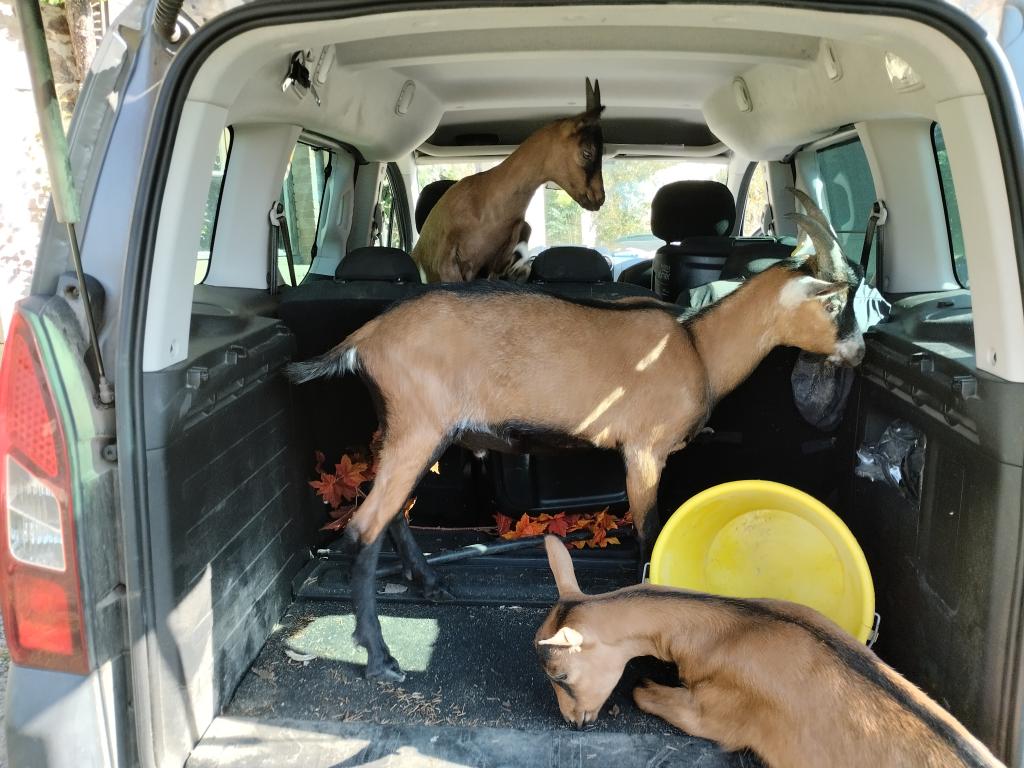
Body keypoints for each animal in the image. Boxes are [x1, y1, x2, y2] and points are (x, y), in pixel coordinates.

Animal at [288, 189, 864, 684]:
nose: (857, 352)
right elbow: (649, 532)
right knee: (363, 528)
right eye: (834, 304)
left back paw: (430, 585)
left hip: (409, 432)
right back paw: (380, 659)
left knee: (396, 514)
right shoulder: (644, 452)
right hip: (418, 426)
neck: (697, 347)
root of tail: (366, 336)